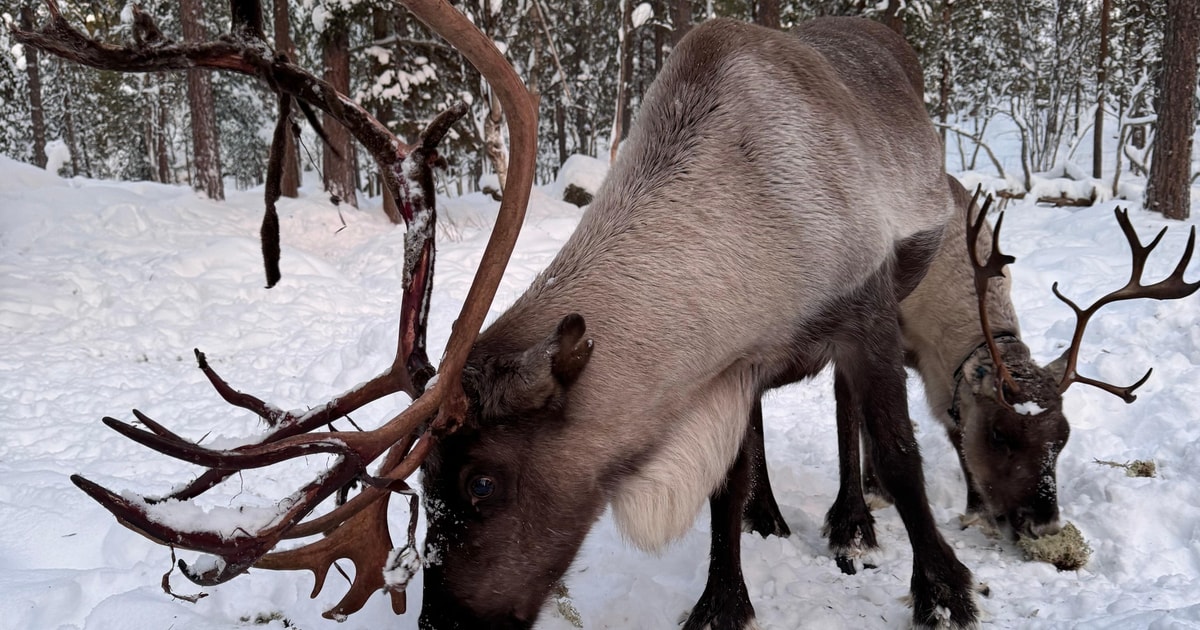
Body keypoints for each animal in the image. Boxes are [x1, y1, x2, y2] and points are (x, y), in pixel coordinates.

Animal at [19, 5, 980, 629]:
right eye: (428, 488)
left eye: (482, 484)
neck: (751, 233)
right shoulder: (727, 368)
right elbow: (725, 481)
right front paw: (720, 600)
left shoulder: (860, 307)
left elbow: (900, 453)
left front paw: (945, 588)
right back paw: (776, 515)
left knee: (851, 416)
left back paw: (852, 523)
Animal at [742, 176, 1199, 575]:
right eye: (1000, 434)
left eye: (1064, 437)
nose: (1043, 526)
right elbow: (853, 416)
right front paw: (857, 522)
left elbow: (945, 428)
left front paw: (973, 508)